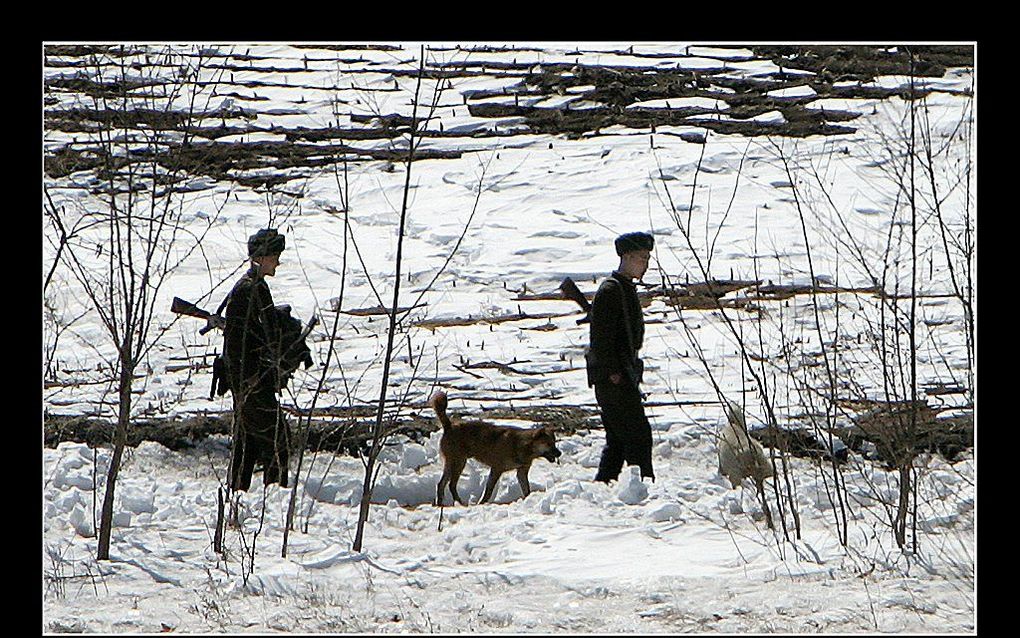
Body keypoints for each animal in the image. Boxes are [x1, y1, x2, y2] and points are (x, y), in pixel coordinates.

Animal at [428, 389, 563, 504]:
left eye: (554, 442)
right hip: (459, 461)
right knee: (451, 485)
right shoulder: (496, 468)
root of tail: (449, 426)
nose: (559, 453)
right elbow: (489, 490)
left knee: (441, 484)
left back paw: (440, 504)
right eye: (548, 443)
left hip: (451, 463)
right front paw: (482, 503)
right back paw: (460, 504)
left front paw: (528, 499)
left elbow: (526, 489)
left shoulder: (521, 472)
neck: (524, 446)